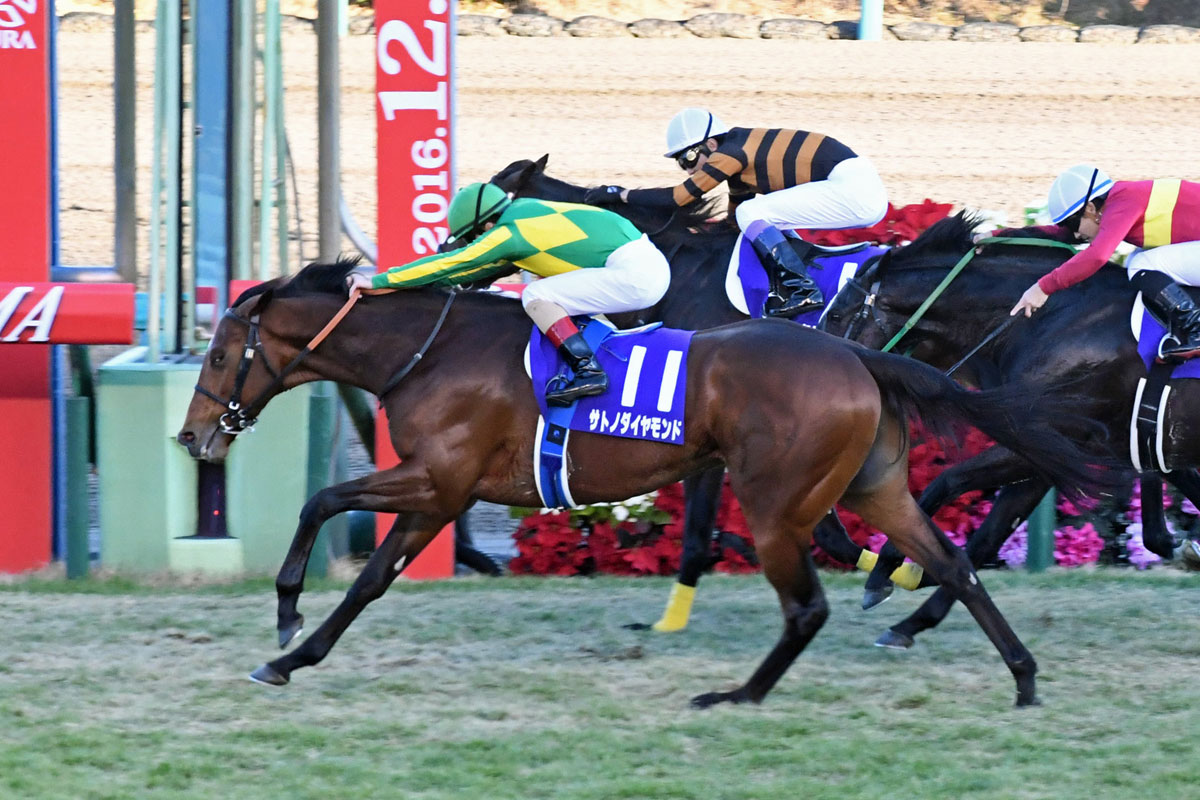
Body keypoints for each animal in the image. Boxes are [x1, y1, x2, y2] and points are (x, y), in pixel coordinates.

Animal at [176, 258, 1113, 707]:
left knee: (807, 605)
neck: (430, 351)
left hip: (776, 503)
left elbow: (322, 501)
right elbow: (370, 578)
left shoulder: (437, 481)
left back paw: (737, 694)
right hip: (875, 486)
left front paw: (287, 609)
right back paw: (1022, 677)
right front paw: (292, 657)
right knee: (952, 565)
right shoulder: (438, 493)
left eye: (219, 355)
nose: (191, 437)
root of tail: (858, 355)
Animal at [820, 212, 1200, 648]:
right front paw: (910, 620)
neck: (1052, 320)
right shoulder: (1046, 455)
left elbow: (946, 485)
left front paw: (887, 574)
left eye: (836, 315)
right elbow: (989, 536)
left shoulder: (1048, 442)